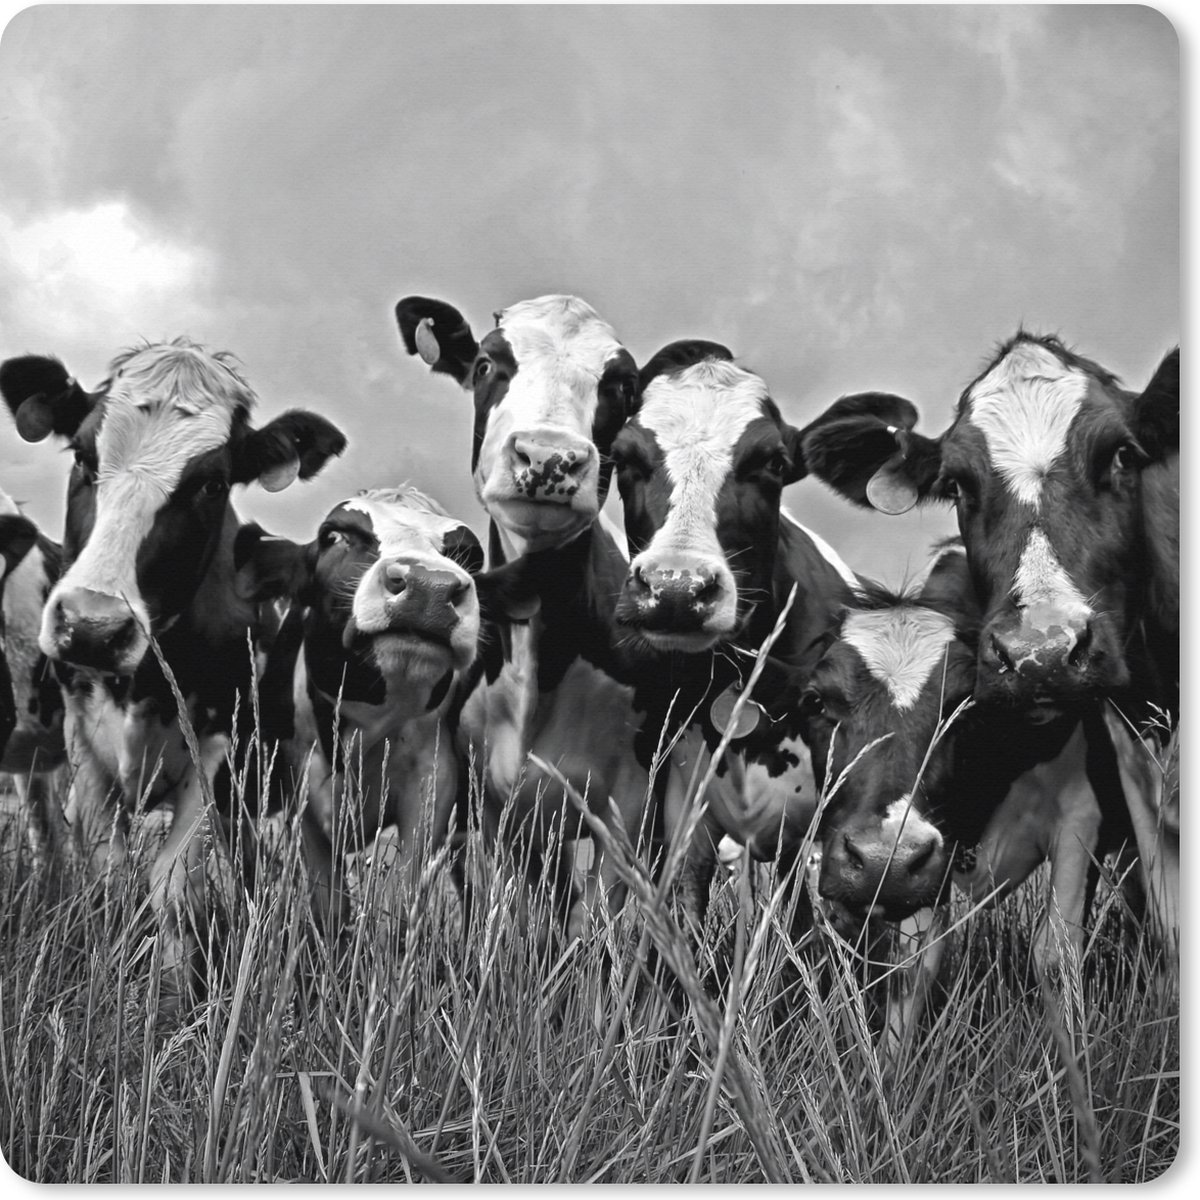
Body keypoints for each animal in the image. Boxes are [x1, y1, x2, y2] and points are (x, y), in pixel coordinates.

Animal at [0, 339, 346, 1005]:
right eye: (83, 455)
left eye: (212, 483)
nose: (93, 626)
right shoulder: (85, 747)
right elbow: (107, 872)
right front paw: (108, 971)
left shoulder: (214, 752)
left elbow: (173, 886)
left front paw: (168, 996)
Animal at [236, 486, 486, 920]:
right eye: (333, 537)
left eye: (468, 554)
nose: (429, 586)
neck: (366, 726)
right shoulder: (303, 797)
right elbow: (330, 909)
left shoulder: (434, 782)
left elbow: (405, 901)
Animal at [394, 294, 648, 940]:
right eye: (487, 364)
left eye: (622, 386)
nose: (550, 456)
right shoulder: (497, 807)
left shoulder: (630, 807)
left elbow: (597, 931)